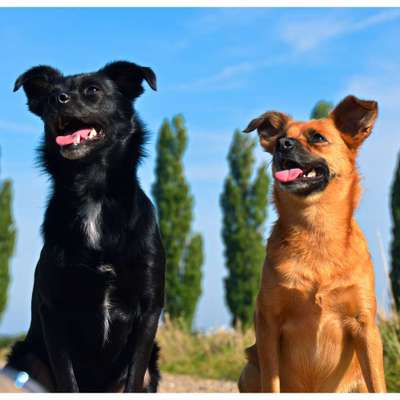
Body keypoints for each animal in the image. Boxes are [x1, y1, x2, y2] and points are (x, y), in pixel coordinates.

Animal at [5, 61, 164, 392]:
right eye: (49, 95)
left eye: (93, 90)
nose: (57, 99)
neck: (92, 194)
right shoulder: (54, 311)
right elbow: (67, 380)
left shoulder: (149, 310)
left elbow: (133, 377)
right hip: (26, 359)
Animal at [239, 95, 386, 392]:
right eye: (279, 138)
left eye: (317, 137)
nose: (283, 144)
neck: (315, 231)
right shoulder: (268, 322)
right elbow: (271, 383)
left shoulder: (364, 325)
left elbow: (379, 383)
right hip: (248, 369)